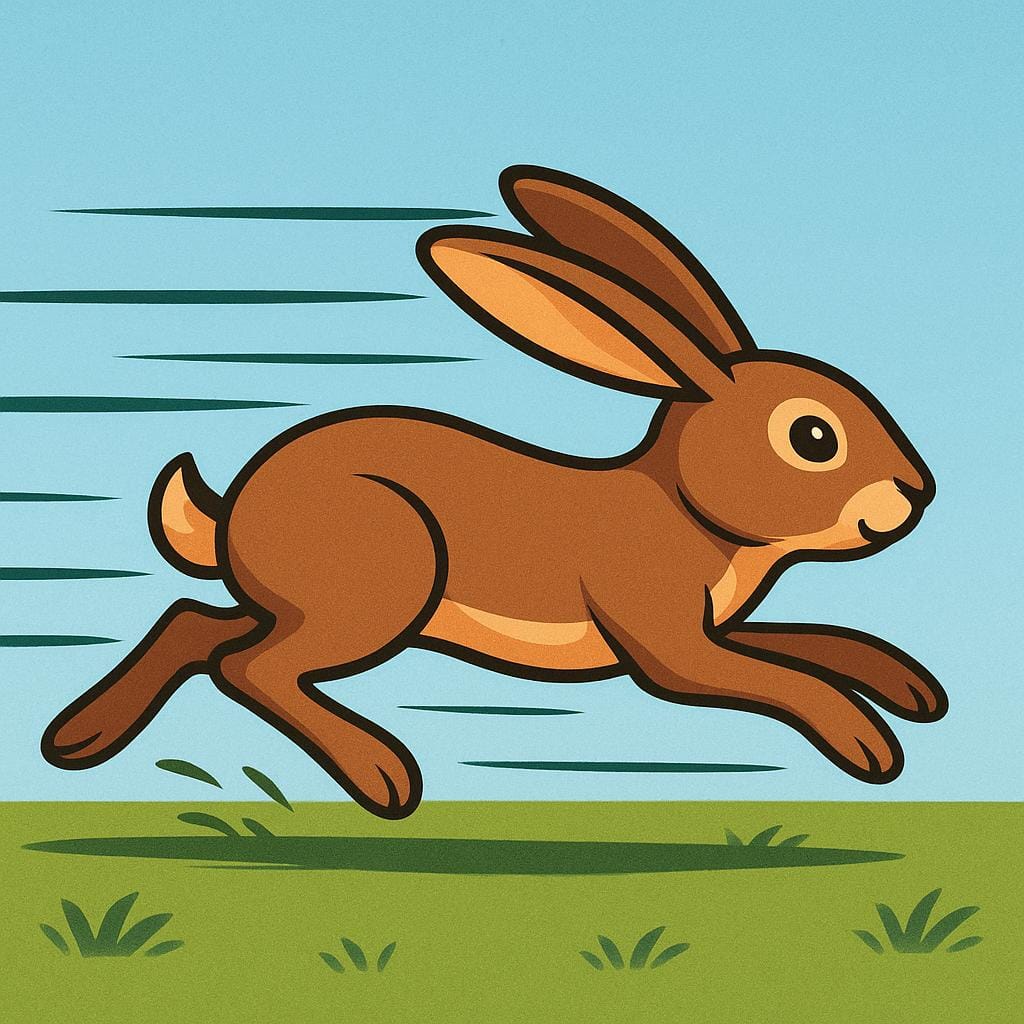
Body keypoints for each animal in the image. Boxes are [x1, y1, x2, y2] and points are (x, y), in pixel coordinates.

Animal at [41, 165, 946, 819]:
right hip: (383, 581)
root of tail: (236, 511)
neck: (685, 506)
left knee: (197, 624)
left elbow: (810, 639)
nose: (916, 494)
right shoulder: (670, 644)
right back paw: (382, 775)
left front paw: (910, 689)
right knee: (252, 664)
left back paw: (81, 739)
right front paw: (865, 742)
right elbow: (779, 674)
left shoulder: (712, 627)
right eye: (813, 437)